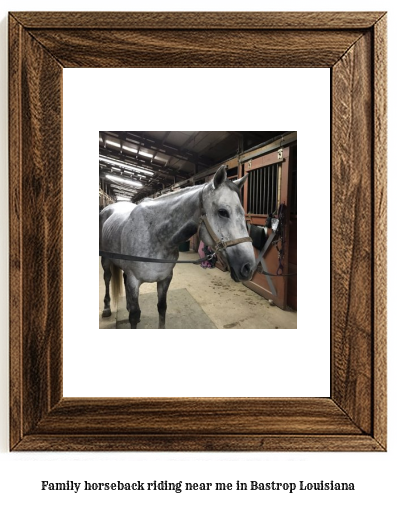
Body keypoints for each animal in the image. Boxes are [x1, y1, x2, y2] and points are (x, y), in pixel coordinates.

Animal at [99, 166, 254, 330]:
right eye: (223, 212)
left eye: (243, 212)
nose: (248, 267)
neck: (155, 235)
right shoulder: (134, 280)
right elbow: (134, 316)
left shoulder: (165, 279)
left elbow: (161, 308)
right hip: (106, 260)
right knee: (107, 278)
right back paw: (107, 309)